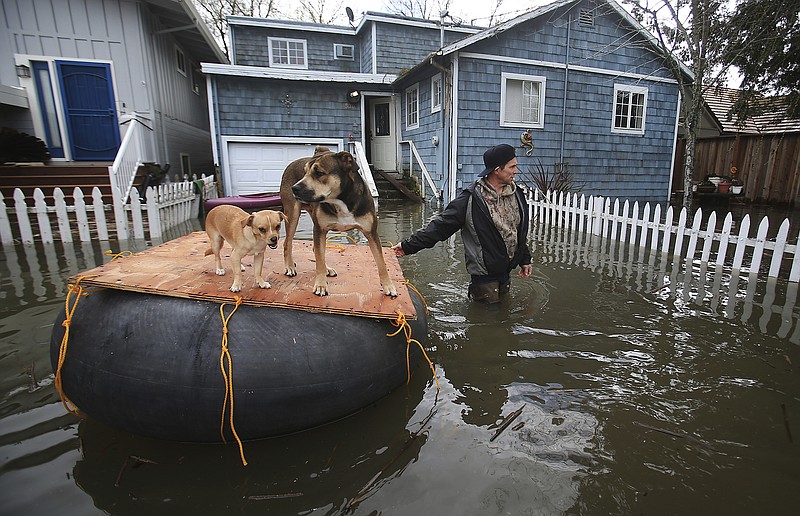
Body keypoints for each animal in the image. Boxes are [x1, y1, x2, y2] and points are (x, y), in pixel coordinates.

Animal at [280, 147, 398, 296]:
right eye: (304, 171)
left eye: (319, 173)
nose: (294, 188)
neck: (340, 200)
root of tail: (290, 164)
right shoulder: (319, 229)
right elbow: (319, 261)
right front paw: (321, 285)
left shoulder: (371, 233)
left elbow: (381, 262)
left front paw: (388, 285)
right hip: (293, 214)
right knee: (288, 243)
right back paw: (290, 266)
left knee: (316, 250)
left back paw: (327, 268)